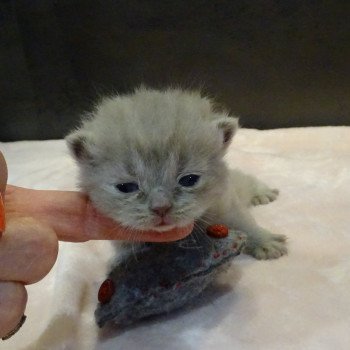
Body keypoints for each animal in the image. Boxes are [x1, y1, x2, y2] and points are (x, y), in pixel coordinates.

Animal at [66, 87, 288, 260]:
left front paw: (265, 241)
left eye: (189, 180)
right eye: (126, 187)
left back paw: (262, 192)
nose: (161, 208)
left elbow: (244, 221)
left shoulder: (225, 203)